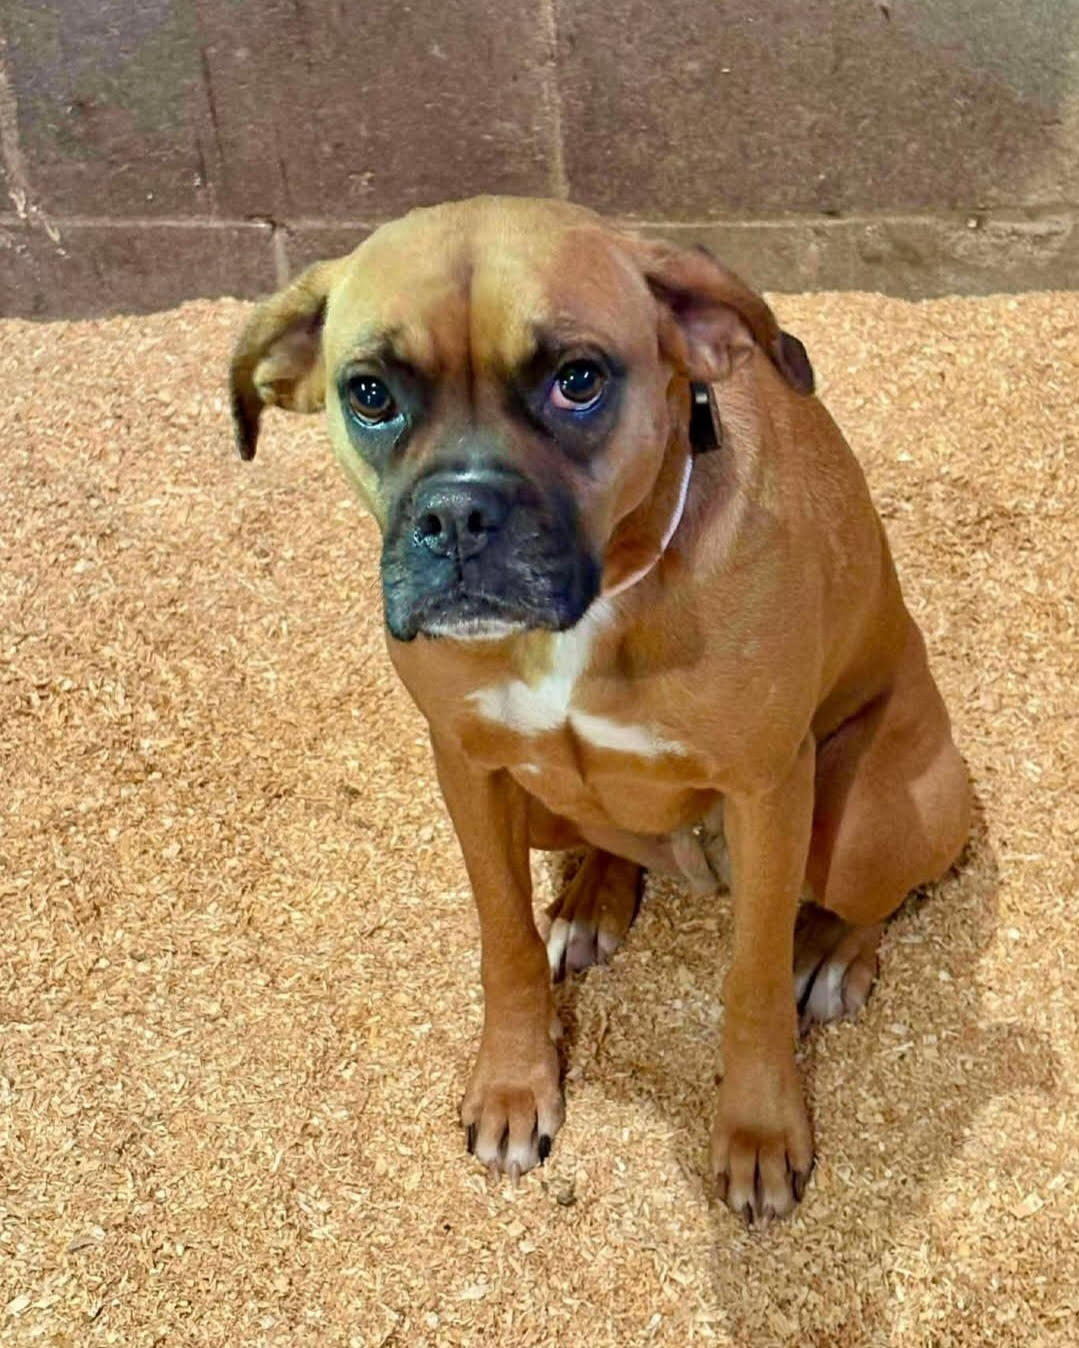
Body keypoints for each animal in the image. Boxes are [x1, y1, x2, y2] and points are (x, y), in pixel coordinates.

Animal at [229, 196, 970, 1223]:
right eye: (370, 393)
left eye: (577, 381)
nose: (457, 517)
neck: (601, 601)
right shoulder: (467, 765)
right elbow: (503, 939)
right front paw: (515, 1080)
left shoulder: (768, 790)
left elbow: (749, 982)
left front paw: (759, 1129)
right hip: (545, 804)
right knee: (599, 838)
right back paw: (591, 896)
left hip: (861, 819)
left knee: (877, 891)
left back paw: (829, 953)